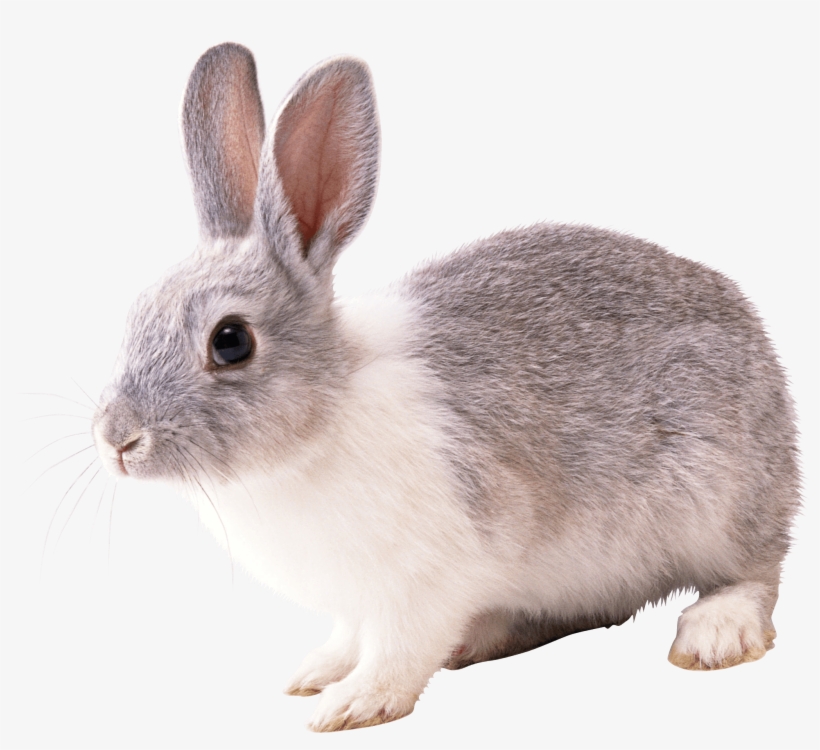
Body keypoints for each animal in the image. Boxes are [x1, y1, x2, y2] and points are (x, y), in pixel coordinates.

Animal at [92, 42, 800, 732]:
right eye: (136, 314)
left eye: (231, 341)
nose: (116, 439)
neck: (321, 420)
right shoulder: (358, 601)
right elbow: (349, 636)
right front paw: (316, 672)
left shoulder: (426, 580)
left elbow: (399, 649)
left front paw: (354, 704)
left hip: (718, 502)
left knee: (758, 571)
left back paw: (715, 634)